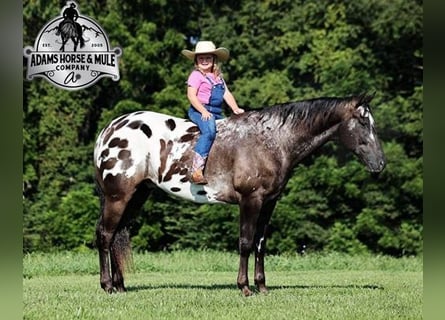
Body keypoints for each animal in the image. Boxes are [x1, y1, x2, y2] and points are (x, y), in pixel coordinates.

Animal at [93, 94, 386, 296]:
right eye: (363, 121)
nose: (381, 164)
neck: (273, 140)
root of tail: (108, 131)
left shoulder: (269, 202)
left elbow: (260, 243)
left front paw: (262, 287)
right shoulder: (250, 200)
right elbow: (245, 242)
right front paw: (244, 287)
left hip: (137, 196)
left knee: (117, 234)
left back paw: (120, 286)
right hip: (118, 197)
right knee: (105, 235)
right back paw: (107, 286)